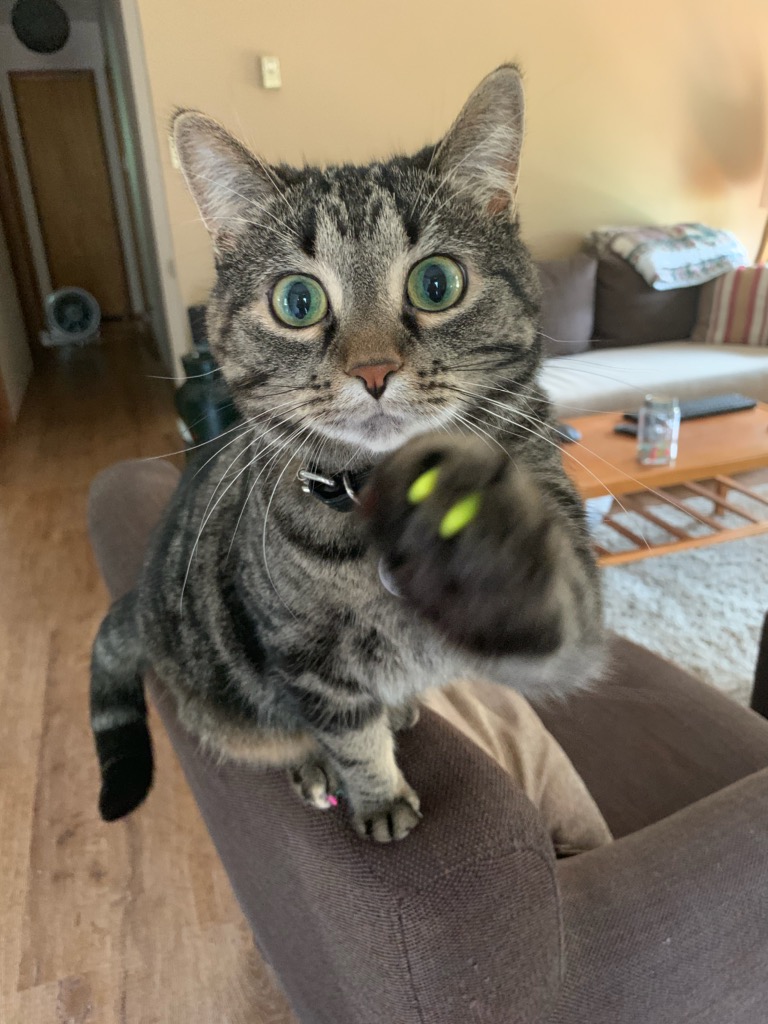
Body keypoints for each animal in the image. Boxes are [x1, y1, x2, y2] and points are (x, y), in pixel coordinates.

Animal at [90, 65, 604, 843]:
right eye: (297, 301)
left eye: (436, 283)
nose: (373, 370)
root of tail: (139, 600)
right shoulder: (308, 661)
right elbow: (350, 734)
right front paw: (378, 797)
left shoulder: (570, 613)